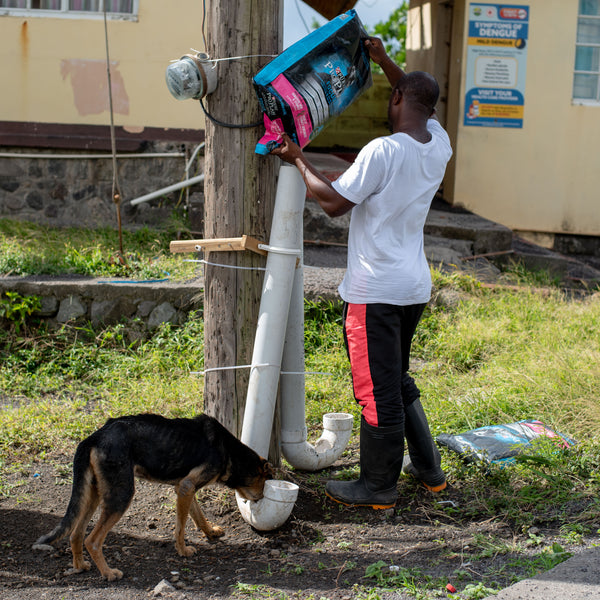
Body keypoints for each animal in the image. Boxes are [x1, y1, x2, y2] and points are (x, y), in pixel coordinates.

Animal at [34, 414, 274, 580]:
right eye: (264, 481)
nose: (261, 498)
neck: (229, 452)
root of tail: (94, 437)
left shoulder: (184, 488)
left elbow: (198, 516)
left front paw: (210, 532)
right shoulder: (187, 487)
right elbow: (181, 528)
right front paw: (183, 551)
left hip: (94, 493)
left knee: (75, 533)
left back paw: (80, 566)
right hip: (121, 495)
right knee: (92, 540)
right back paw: (109, 573)